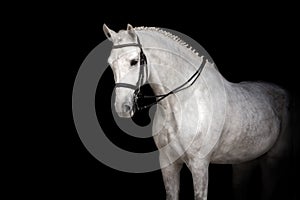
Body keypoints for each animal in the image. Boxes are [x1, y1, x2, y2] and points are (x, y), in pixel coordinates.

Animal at [102, 24, 290, 199]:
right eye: (110, 63)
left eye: (134, 61)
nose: (122, 107)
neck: (183, 101)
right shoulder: (168, 164)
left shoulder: (199, 164)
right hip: (244, 161)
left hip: (273, 161)